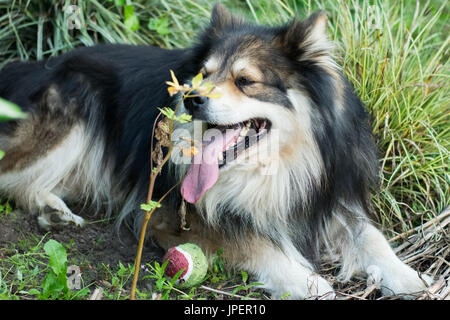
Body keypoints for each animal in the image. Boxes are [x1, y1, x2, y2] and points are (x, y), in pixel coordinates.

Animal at [0, 3, 432, 298]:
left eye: (245, 81)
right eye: (202, 75)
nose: (191, 98)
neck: (279, 167)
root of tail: (31, 64)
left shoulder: (329, 199)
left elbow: (371, 237)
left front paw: (410, 277)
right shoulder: (169, 218)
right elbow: (256, 243)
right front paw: (313, 284)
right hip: (70, 120)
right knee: (13, 176)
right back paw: (50, 209)